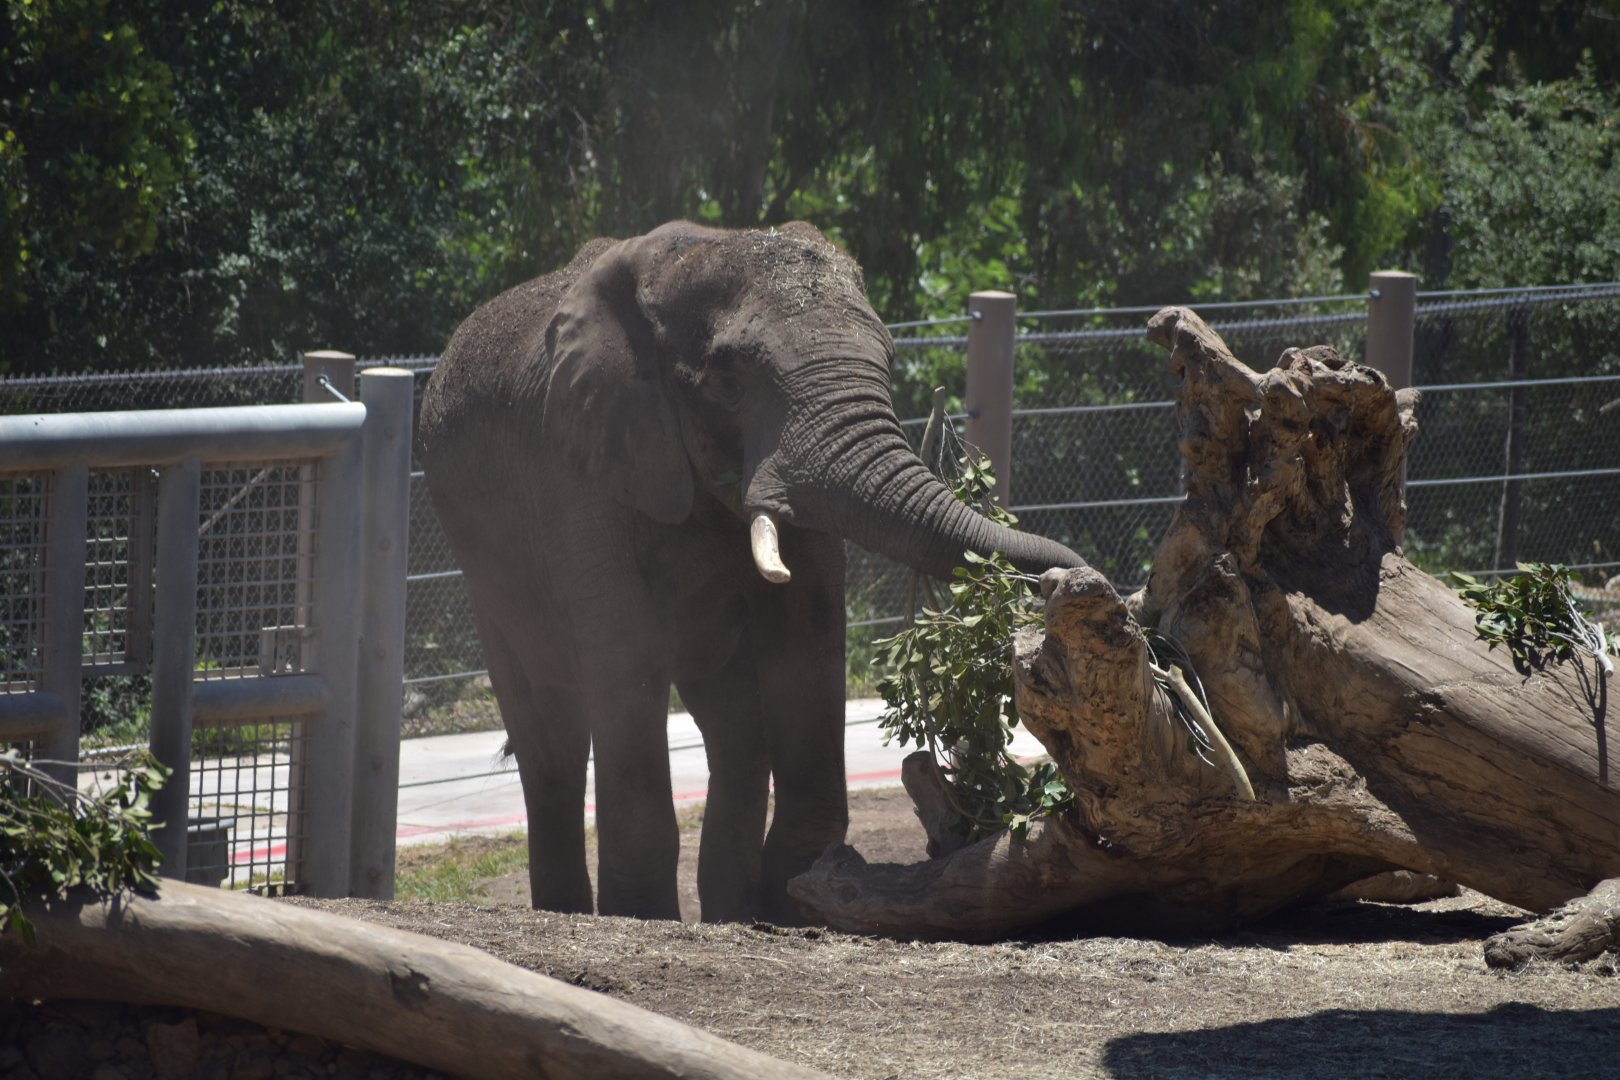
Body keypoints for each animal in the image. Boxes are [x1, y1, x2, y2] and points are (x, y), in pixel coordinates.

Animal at [417, 220, 1087, 923]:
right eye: (728, 377)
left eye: (888, 359)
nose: (1060, 585)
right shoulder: (575, 463)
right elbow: (625, 654)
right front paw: (645, 916)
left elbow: (808, 637)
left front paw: (796, 901)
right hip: (483, 565)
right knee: (551, 734)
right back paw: (573, 910)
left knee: (732, 734)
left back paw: (732, 913)